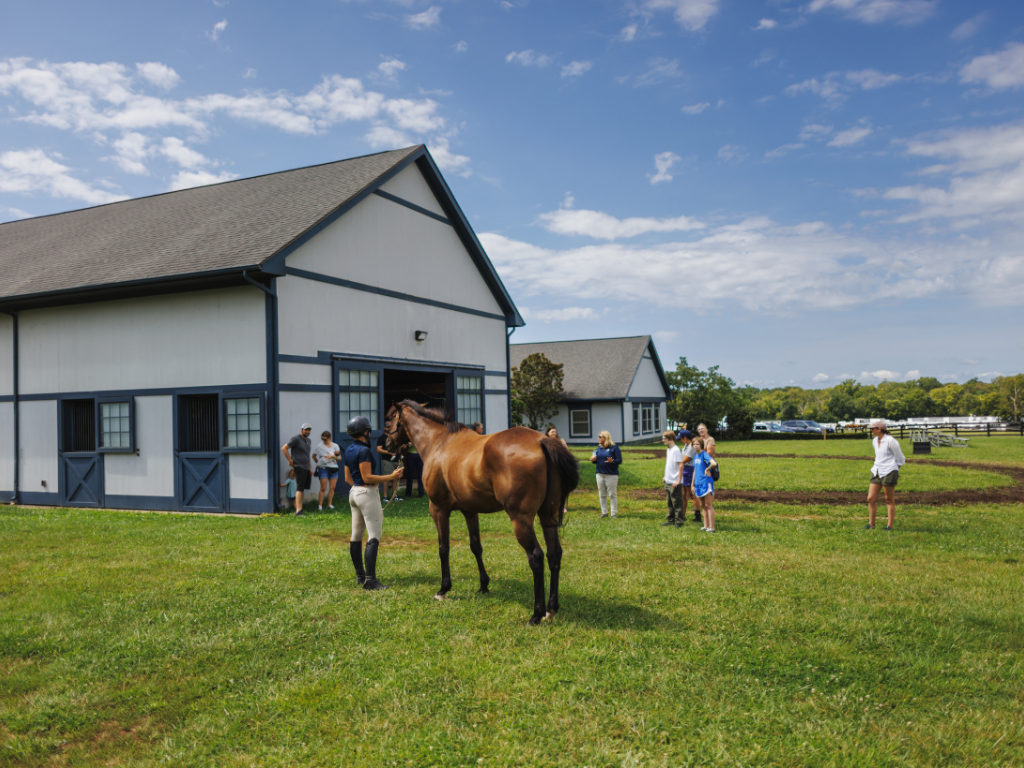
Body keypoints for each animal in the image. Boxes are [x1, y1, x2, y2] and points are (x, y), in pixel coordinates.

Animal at [385, 403, 577, 626]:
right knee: (554, 554)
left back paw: (536, 614)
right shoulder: (470, 511)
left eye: (389, 421)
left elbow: (443, 548)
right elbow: (476, 546)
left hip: (521, 520)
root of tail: (541, 440)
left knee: (536, 557)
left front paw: (443, 589)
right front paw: (484, 585)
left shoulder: (438, 508)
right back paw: (551, 609)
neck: (439, 441)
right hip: (548, 517)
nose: (387, 444)